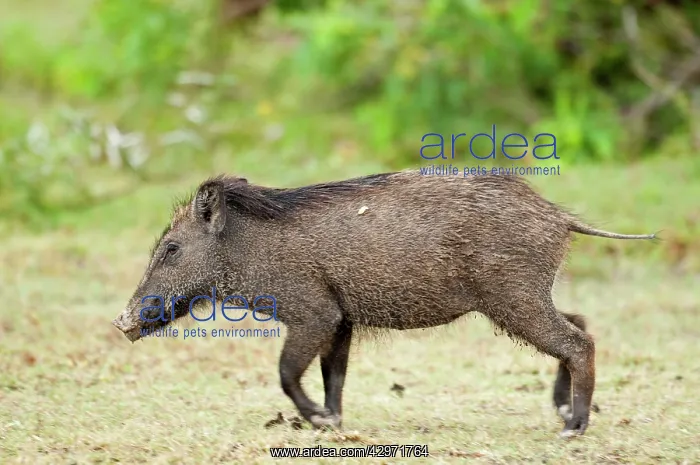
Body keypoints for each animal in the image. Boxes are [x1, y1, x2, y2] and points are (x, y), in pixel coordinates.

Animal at [112, 171, 656, 438]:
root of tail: (559, 217)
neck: (245, 246)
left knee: (579, 341)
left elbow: (287, 373)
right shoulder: (341, 321)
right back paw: (562, 414)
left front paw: (318, 421)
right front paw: (333, 425)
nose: (121, 322)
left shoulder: (314, 313)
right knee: (581, 324)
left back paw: (575, 428)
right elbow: (334, 376)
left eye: (171, 249)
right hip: (528, 296)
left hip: (514, 300)